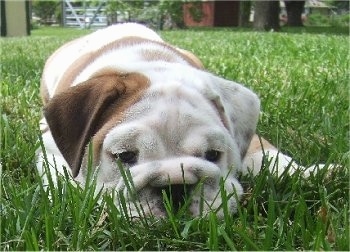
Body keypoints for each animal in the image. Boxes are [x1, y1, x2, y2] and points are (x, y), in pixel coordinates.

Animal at [36, 22, 314, 218]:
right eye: (125, 156)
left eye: (213, 155)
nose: (175, 187)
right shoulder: (50, 146)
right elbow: (63, 177)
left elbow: (264, 150)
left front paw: (305, 173)